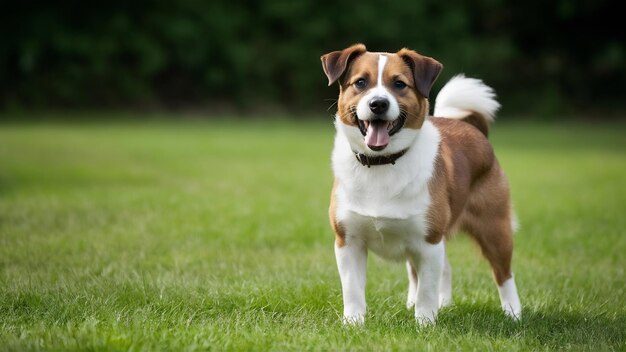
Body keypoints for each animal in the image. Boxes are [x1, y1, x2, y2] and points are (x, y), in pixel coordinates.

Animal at [320, 44, 520, 328]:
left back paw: (513, 313)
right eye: (360, 82)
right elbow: (353, 289)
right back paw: (437, 304)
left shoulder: (428, 241)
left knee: (504, 274)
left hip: (494, 229)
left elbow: (427, 288)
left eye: (399, 84)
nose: (378, 104)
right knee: (438, 269)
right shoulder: (348, 241)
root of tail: (472, 128)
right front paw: (353, 323)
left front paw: (425, 324)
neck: (382, 163)